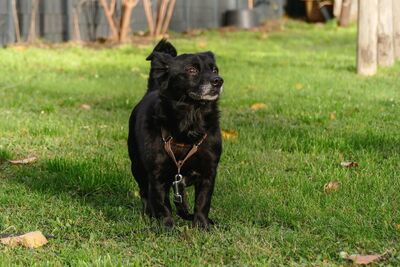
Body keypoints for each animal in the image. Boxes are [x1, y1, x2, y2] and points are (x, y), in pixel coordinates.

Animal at [127, 38, 223, 229]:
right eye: (192, 70)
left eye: (215, 70)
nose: (219, 81)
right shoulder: (157, 175)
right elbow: (162, 204)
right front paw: (167, 227)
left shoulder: (209, 172)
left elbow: (203, 202)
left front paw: (202, 225)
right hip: (137, 166)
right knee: (144, 192)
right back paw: (148, 214)